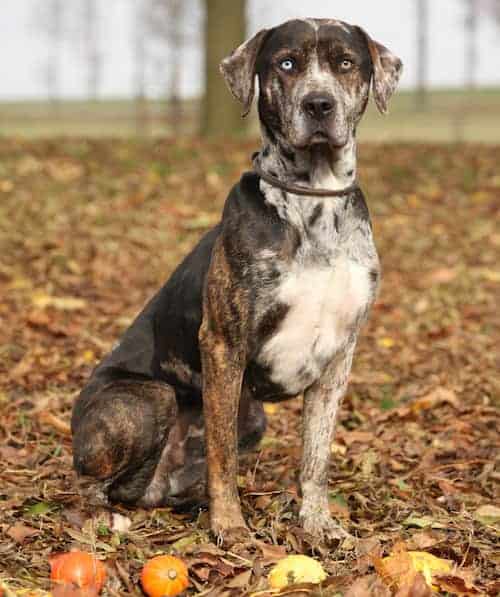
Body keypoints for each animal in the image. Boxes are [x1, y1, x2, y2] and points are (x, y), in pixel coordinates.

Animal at [72, 17, 402, 540]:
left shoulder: (340, 353)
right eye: (286, 63)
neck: (315, 199)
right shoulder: (223, 343)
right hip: (149, 398)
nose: (319, 104)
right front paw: (230, 525)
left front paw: (318, 523)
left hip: (253, 418)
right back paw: (104, 517)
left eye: (346, 63)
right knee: (87, 484)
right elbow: (221, 456)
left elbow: (316, 456)